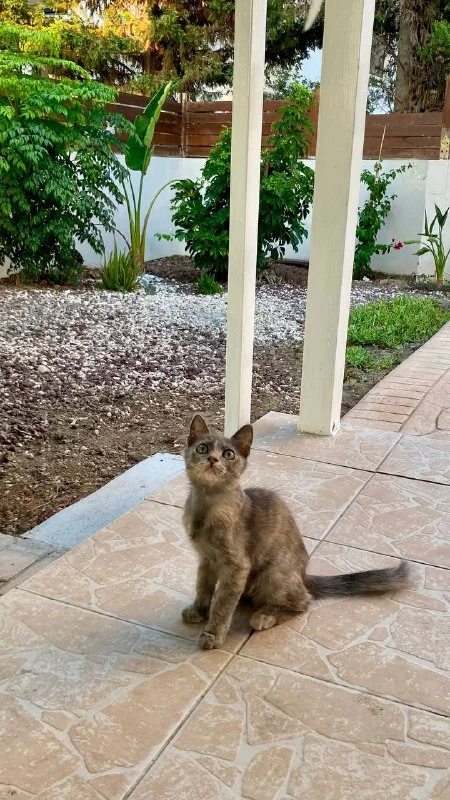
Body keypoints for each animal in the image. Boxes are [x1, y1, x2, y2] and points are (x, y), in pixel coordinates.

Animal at [182, 415, 409, 650]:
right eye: (202, 448)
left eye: (228, 454)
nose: (212, 459)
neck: (207, 506)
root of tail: (303, 574)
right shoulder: (205, 559)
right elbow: (203, 587)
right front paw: (198, 610)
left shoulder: (236, 565)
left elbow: (223, 605)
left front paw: (213, 635)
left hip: (273, 573)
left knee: (303, 601)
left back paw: (264, 616)